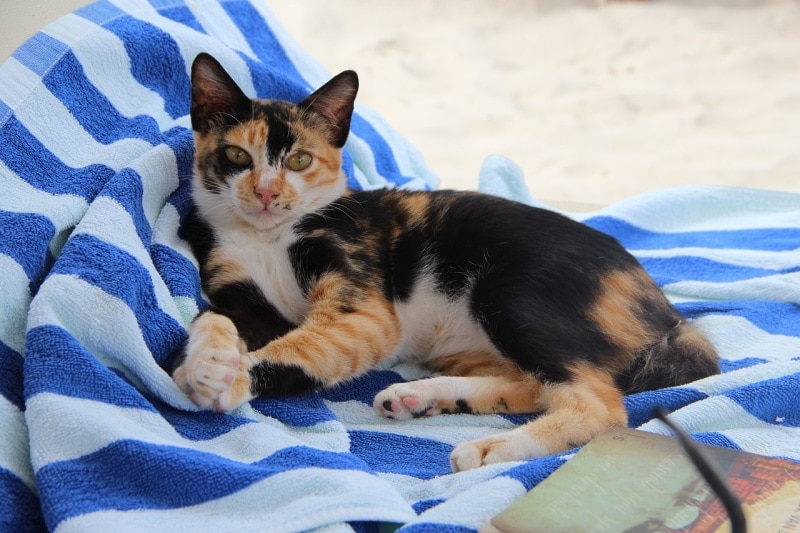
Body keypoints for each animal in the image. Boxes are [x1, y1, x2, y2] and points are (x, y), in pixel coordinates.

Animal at [173, 53, 720, 470]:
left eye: (300, 160)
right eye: (237, 156)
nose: (267, 193)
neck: (268, 237)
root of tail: (666, 311)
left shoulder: (362, 303)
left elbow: (306, 347)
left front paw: (231, 378)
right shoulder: (240, 294)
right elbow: (213, 315)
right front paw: (203, 365)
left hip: (511, 293)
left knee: (598, 403)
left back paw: (492, 446)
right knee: (535, 384)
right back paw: (420, 396)